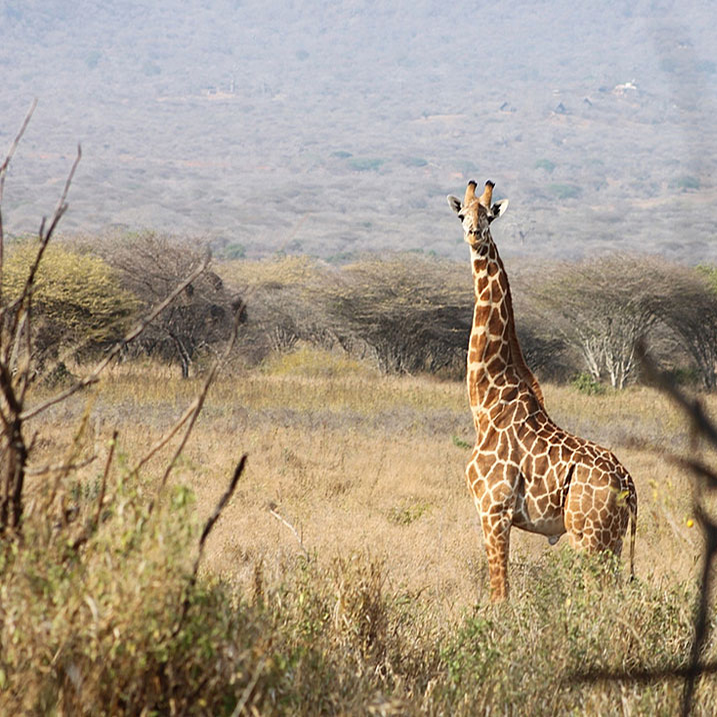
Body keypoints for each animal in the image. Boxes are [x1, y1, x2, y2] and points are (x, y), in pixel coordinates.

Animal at [444, 178, 636, 600]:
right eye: (462, 214)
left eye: (489, 216)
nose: (474, 235)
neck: (486, 405)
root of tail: (630, 486)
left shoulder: (494, 510)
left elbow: (500, 592)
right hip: (612, 542)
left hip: (589, 537)